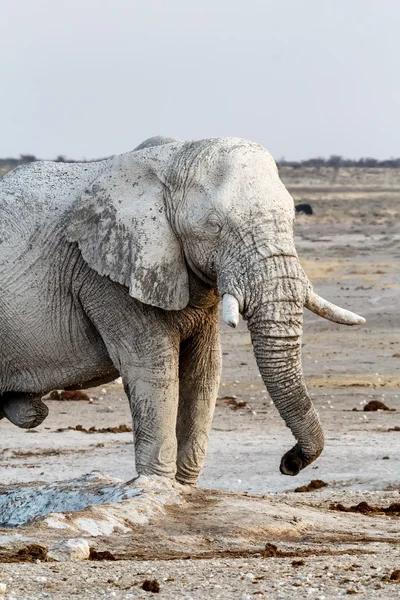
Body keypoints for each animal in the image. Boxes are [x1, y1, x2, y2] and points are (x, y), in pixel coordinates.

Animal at [0, 135, 366, 482]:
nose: (288, 464)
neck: (173, 160)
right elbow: (153, 369)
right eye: (214, 226)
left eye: (292, 219)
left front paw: (184, 487)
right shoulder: (106, 278)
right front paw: (156, 484)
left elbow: (203, 372)